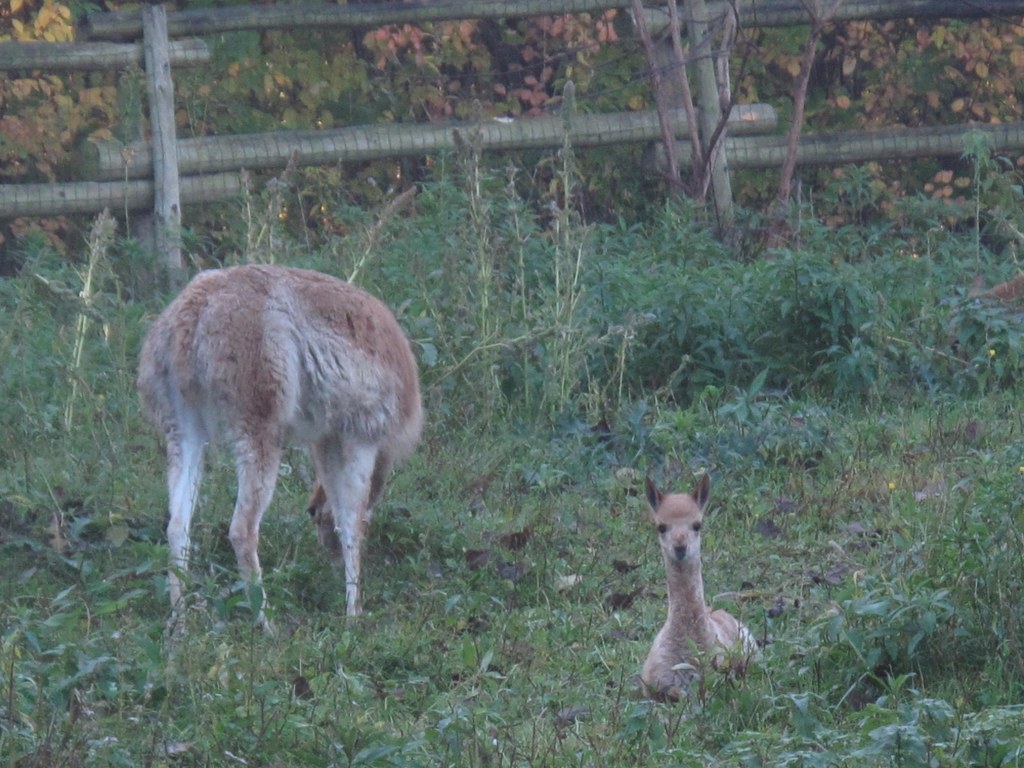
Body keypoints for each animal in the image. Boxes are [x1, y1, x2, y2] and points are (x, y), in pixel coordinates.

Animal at [136, 264, 423, 629]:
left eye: (312, 517)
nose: (328, 558)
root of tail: (194, 309)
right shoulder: (359, 438)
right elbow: (353, 522)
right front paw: (354, 614)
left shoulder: (326, 439)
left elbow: (341, 512)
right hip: (259, 426)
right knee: (242, 529)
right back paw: (266, 624)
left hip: (183, 430)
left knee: (177, 527)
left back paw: (181, 622)